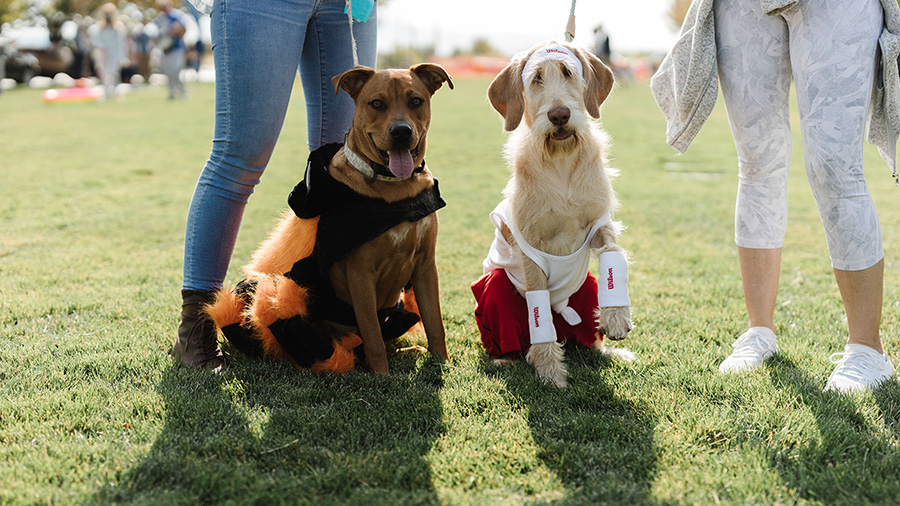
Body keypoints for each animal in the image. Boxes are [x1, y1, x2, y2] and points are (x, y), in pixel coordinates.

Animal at [207, 63, 454, 374]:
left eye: (416, 101)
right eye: (376, 103)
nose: (401, 131)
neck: (393, 189)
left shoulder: (424, 265)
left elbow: (435, 323)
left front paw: (442, 363)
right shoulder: (360, 273)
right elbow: (373, 336)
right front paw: (382, 376)